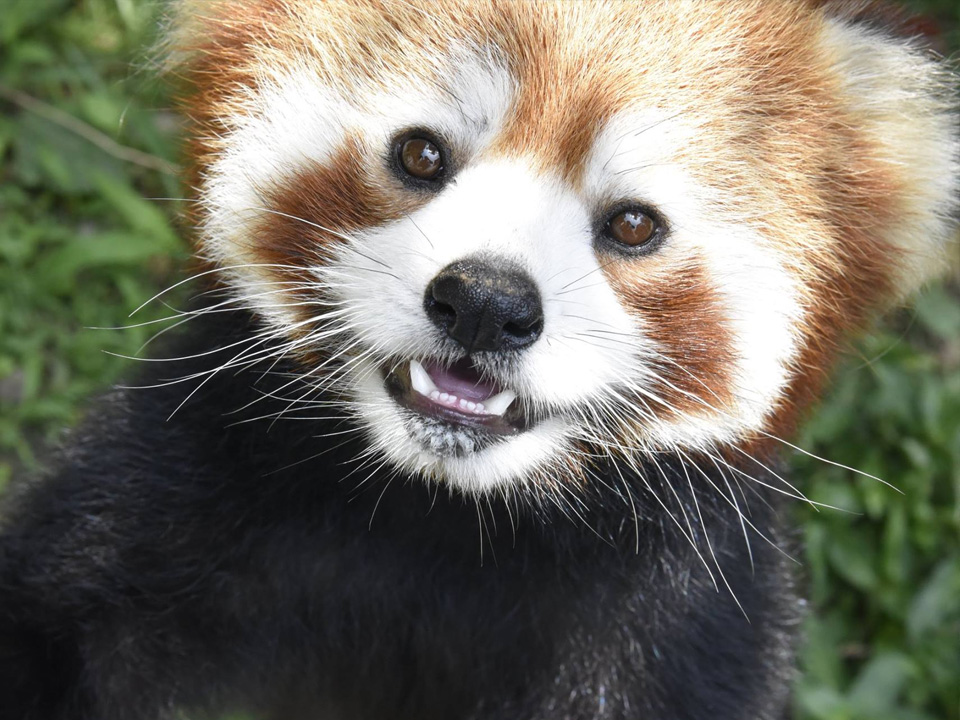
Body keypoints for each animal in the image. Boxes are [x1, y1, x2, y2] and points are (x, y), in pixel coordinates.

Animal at [0, 1, 956, 720]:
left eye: (633, 224)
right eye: (422, 154)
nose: (488, 304)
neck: (443, 515)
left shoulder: (681, 623)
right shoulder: (178, 480)